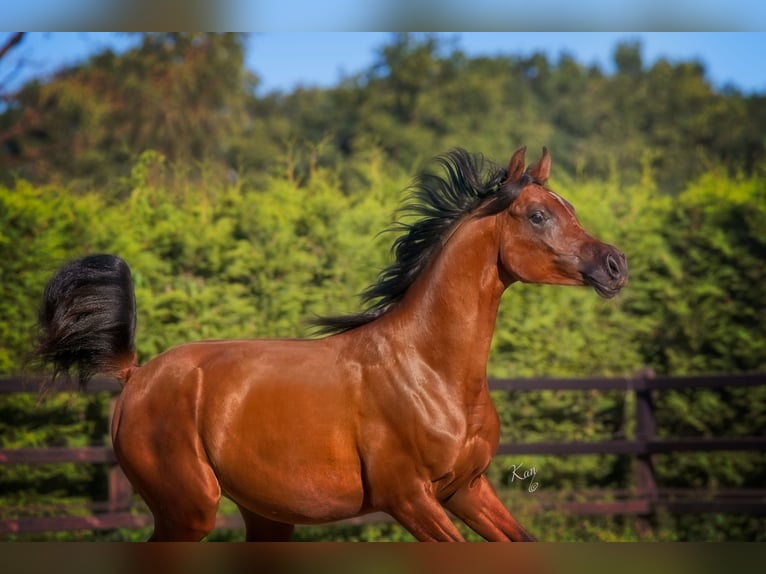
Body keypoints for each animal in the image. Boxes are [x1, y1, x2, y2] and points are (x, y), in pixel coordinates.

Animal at [33, 146, 627, 541]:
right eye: (538, 214)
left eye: (571, 208)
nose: (615, 265)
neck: (432, 371)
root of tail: (136, 376)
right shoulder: (409, 498)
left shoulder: (468, 489)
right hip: (189, 510)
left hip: (266, 516)